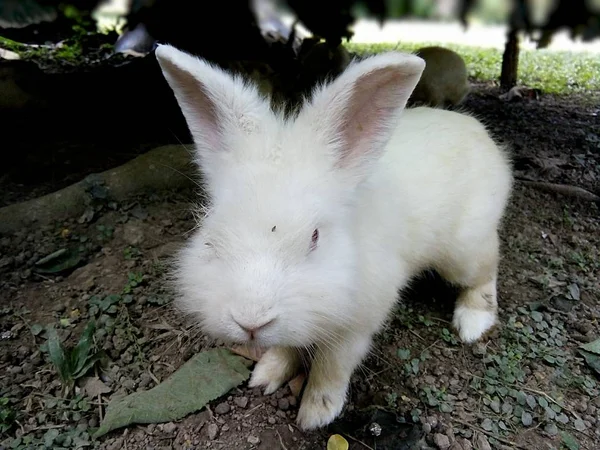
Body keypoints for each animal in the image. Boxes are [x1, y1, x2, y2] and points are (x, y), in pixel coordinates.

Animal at [155, 44, 510, 430]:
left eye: (314, 237)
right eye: (212, 233)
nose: (251, 321)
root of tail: (480, 133)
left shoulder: (355, 328)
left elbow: (332, 367)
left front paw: (316, 412)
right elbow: (286, 346)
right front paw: (266, 374)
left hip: (464, 250)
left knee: (486, 269)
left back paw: (473, 322)